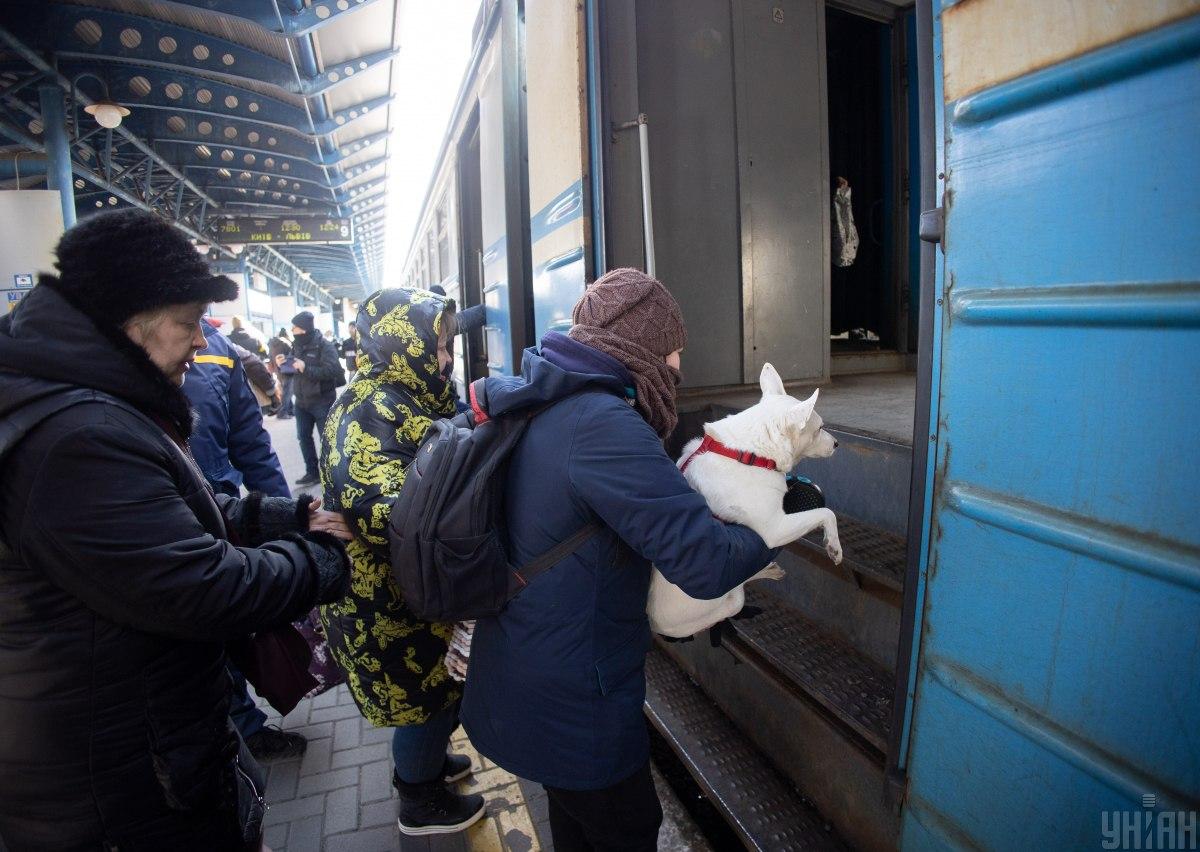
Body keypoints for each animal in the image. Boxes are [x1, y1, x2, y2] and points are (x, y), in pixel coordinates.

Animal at [652, 364, 840, 638]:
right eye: (818, 429)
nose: (837, 443)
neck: (749, 453)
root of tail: (655, 625)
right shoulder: (775, 529)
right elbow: (827, 513)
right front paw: (834, 546)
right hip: (730, 600)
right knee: (737, 590)